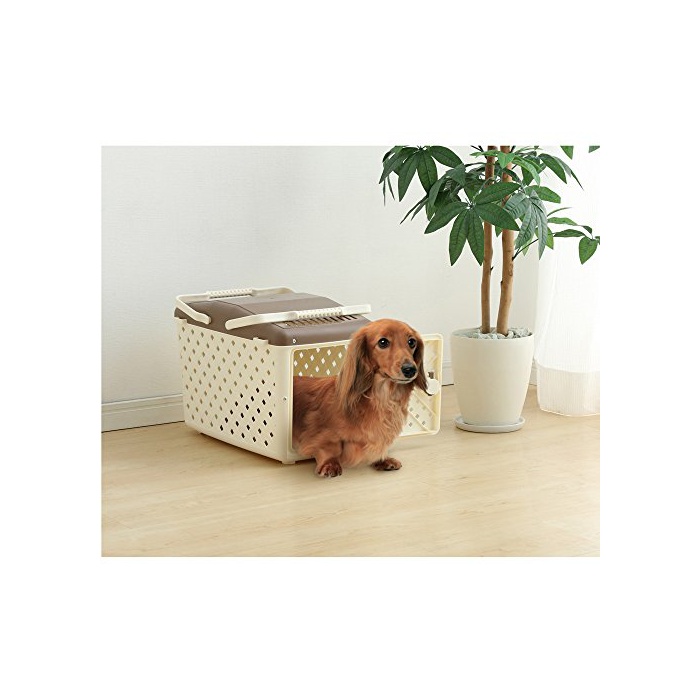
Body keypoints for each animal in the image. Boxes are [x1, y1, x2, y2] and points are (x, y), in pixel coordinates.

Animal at [292, 319, 429, 478]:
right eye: (383, 342)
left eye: (411, 342)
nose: (410, 369)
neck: (382, 398)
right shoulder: (318, 430)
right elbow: (330, 446)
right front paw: (330, 464)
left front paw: (382, 459)